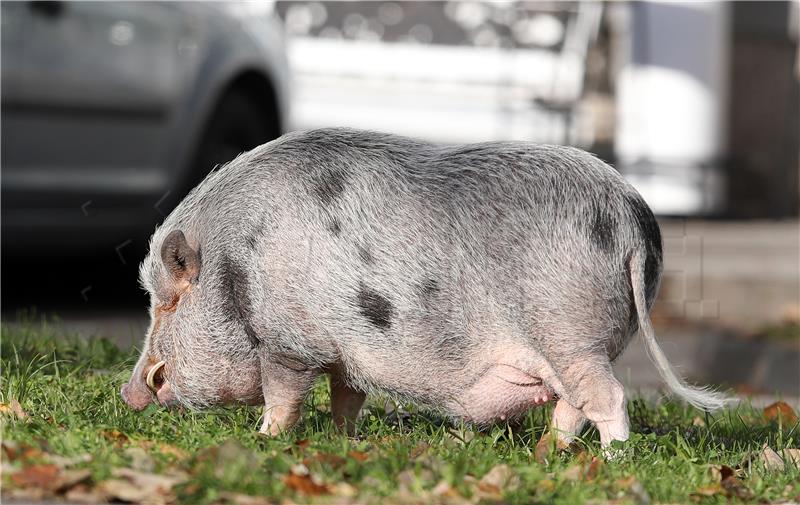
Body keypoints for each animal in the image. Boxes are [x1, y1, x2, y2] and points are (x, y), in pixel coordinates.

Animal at [122, 127, 728, 444]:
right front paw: (344, 441)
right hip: (579, 346)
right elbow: (347, 396)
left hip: (571, 334)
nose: (129, 394)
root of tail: (633, 221)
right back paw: (547, 455)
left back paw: (608, 464)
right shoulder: (347, 351)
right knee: (572, 405)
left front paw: (264, 440)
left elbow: (284, 396)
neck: (234, 262)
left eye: (166, 301)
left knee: (608, 399)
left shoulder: (289, 341)